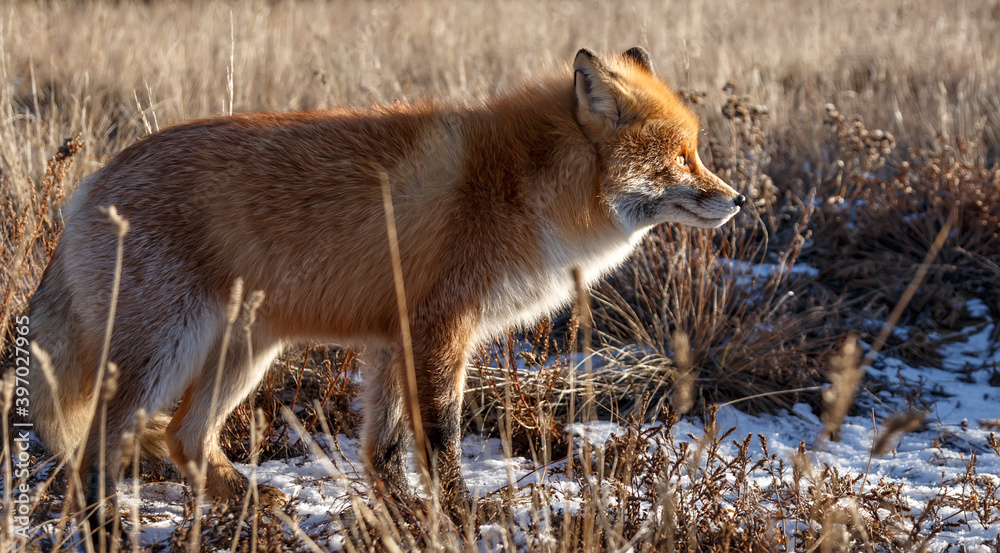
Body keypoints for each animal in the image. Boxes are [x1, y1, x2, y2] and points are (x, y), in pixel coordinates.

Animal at [27, 46, 743, 541]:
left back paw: (251, 502)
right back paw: (109, 530)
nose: (736, 200)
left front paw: (400, 512)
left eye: (698, 153)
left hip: (244, 351)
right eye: (680, 160)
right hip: (167, 350)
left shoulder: (394, 336)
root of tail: (86, 188)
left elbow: (385, 448)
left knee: (184, 436)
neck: (524, 189)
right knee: (98, 445)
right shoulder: (442, 327)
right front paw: (461, 517)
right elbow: (440, 436)